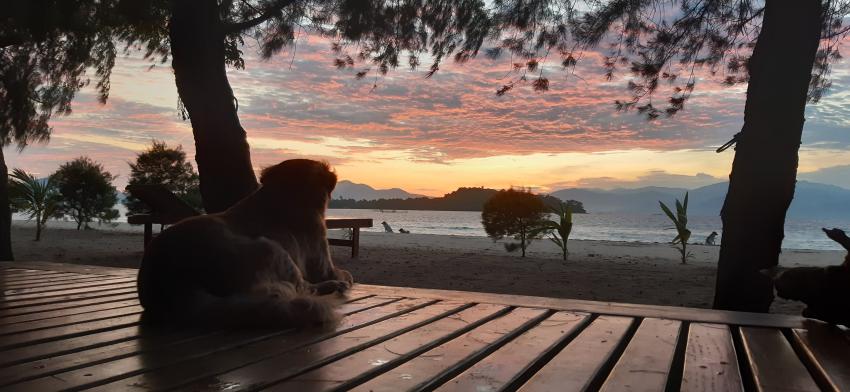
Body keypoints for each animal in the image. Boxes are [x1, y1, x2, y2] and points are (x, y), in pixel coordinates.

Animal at [135, 159, 352, 328]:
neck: (284, 196)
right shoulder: (321, 258)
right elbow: (342, 273)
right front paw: (342, 279)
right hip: (271, 248)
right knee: (304, 288)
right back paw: (333, 286)